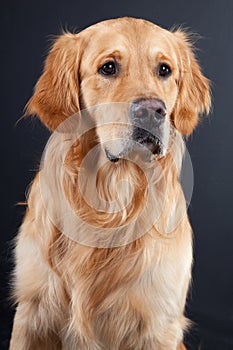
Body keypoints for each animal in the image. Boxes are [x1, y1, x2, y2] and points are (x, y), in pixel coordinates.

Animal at [10, 17, 211, 350]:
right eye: (108, 68)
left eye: (164, 70)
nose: (152, 111)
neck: (114, 197)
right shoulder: (32, 310)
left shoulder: (159, 323)